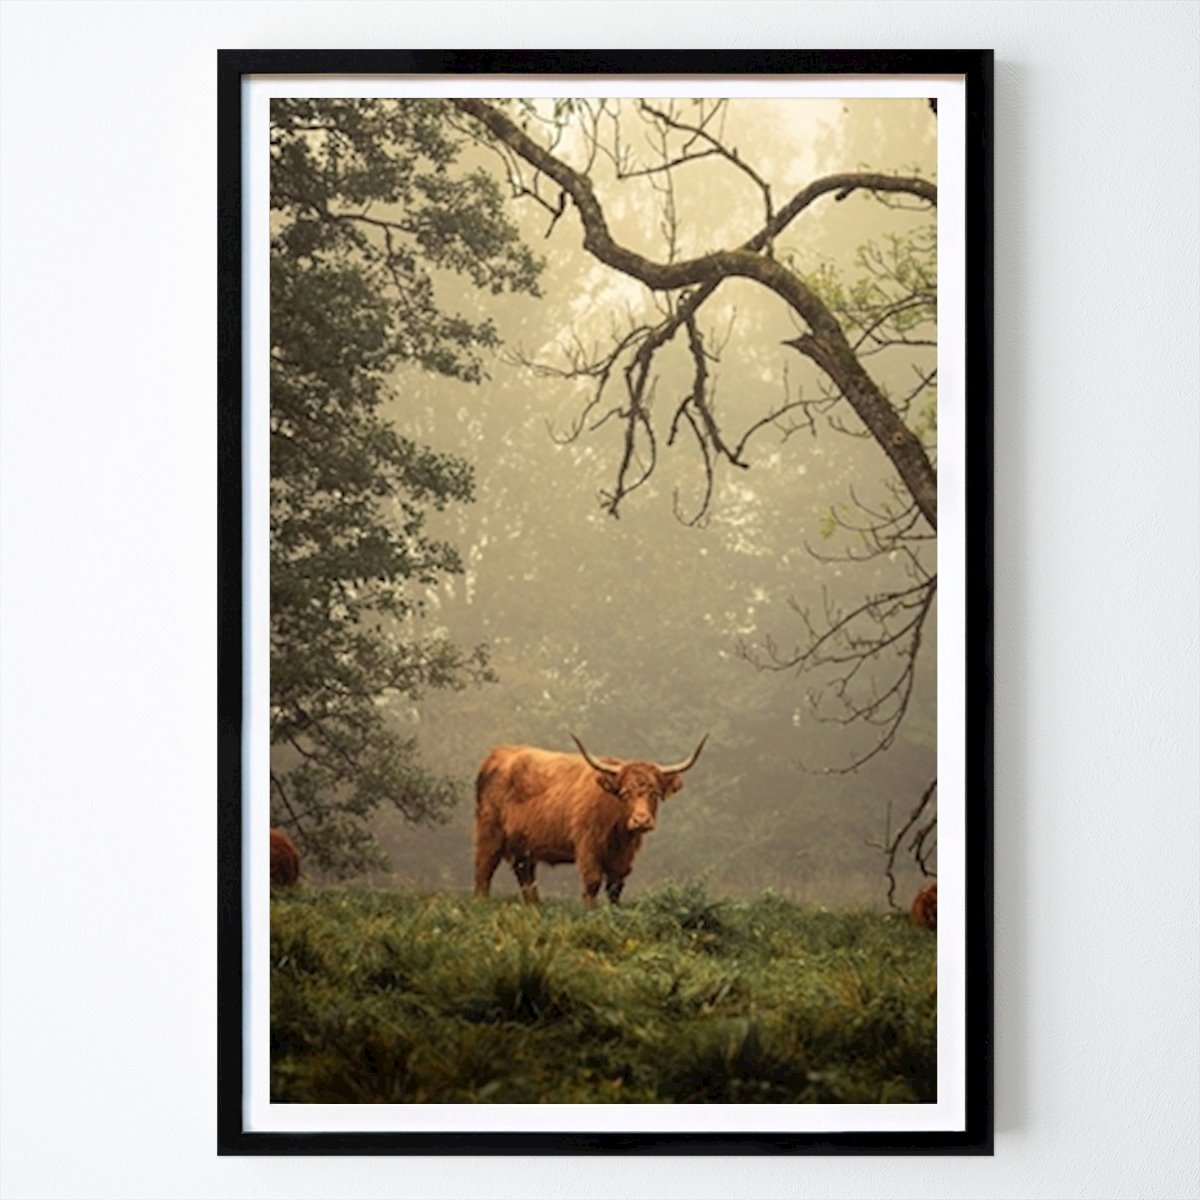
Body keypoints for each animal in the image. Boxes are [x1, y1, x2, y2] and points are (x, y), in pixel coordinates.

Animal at [473, 733, 708, 907]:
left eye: (655, 793)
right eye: (624, 793)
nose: (641, 821)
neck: (618, 832)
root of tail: (499, 753)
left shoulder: (624, 858)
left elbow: (615, 887)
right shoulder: (587, 846)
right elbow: (592, 882)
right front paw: (590, 911)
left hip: (524, 846)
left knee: (526, 877)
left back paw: (534, 906)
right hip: (489, 833)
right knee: (484, 870)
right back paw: (482, 903)